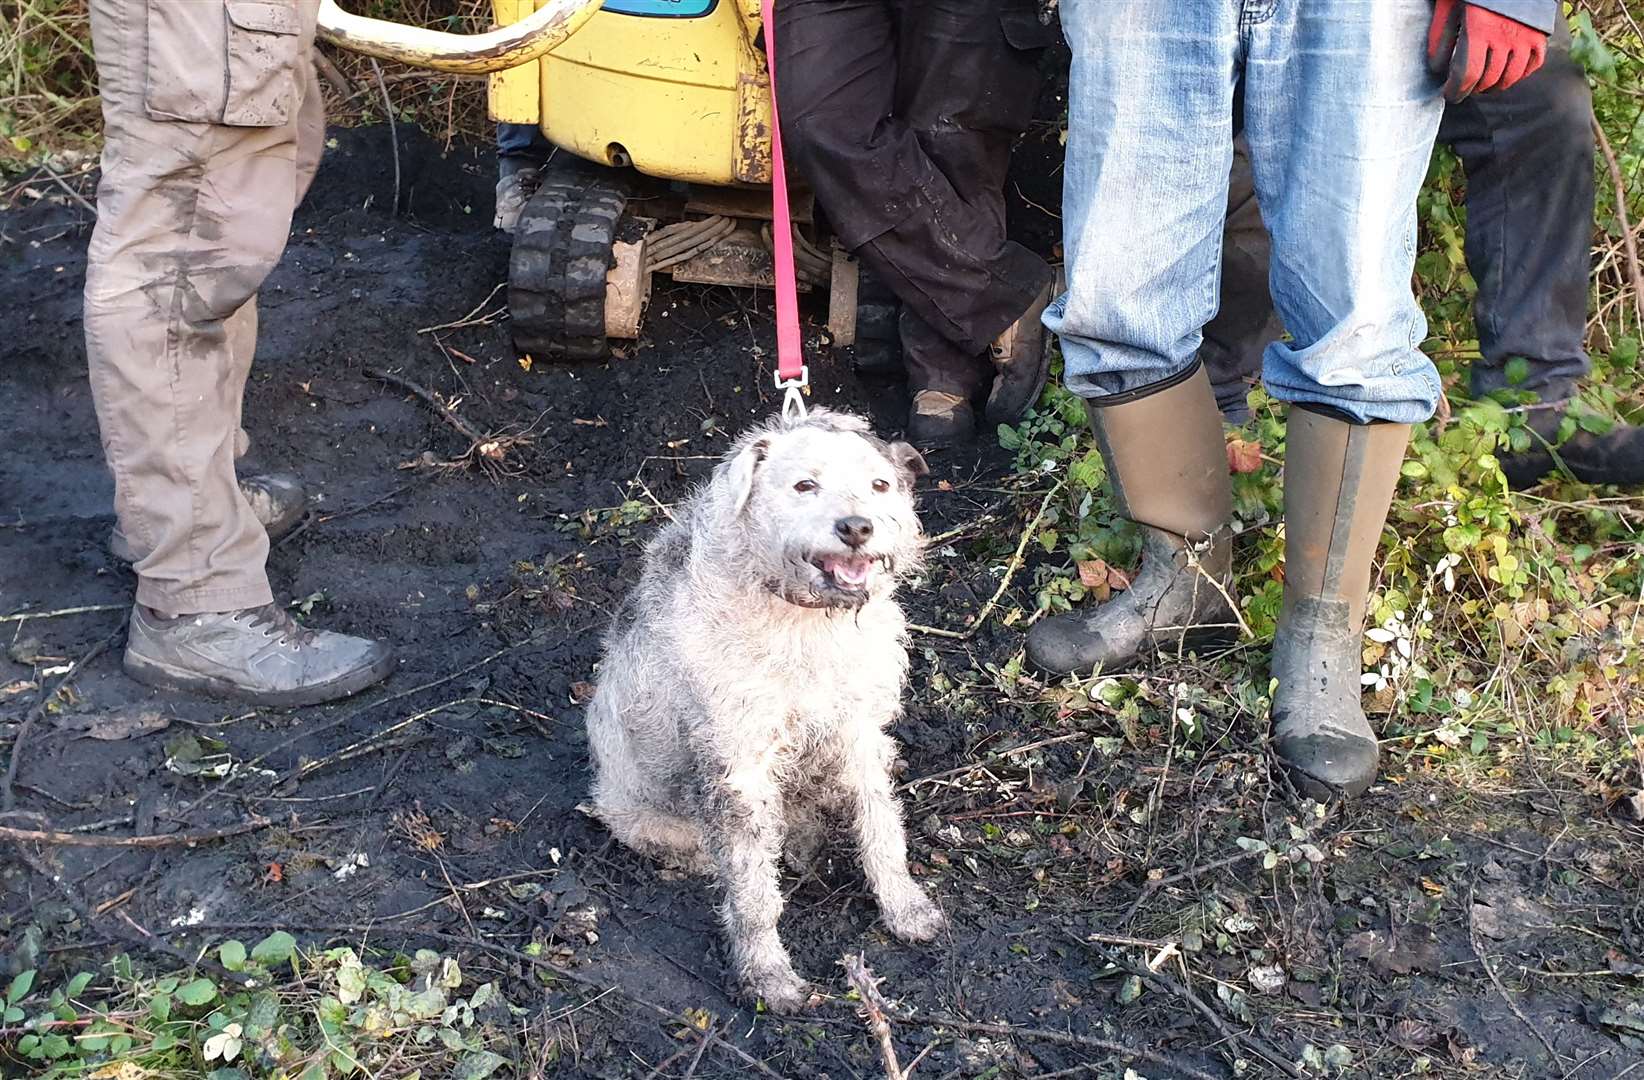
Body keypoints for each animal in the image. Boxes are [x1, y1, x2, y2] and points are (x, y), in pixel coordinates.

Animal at [588, 404, 953, 1012]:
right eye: (805, 485)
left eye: (879, 485)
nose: (857, 527)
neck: (805, 619)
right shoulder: (738, 768)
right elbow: (752, 888)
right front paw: (767, 974)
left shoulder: (859, 732)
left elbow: (882, 827)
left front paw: (904, 906)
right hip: (647, 815)